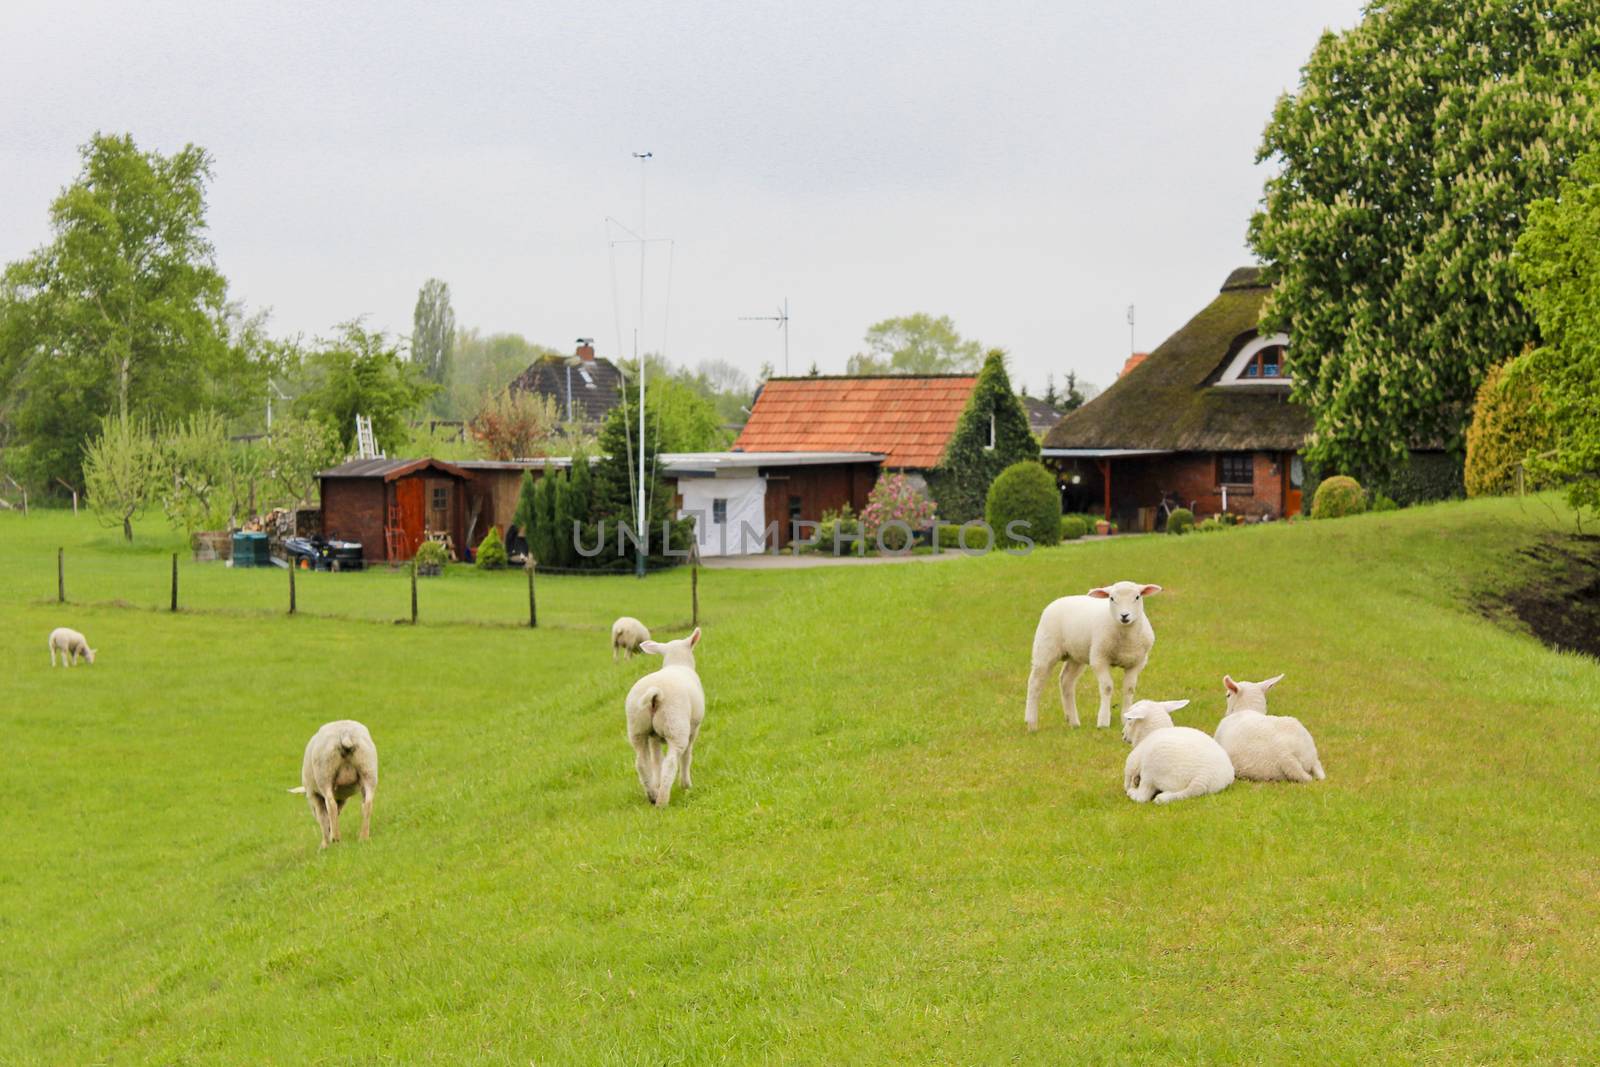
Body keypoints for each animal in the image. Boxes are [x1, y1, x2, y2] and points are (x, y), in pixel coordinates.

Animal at [286, 716, 376, 851]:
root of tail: (345, 734)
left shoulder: (313, 794)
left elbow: (323, 817)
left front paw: (324, 844)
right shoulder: (342, 798)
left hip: (324, 774)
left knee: (331, 805)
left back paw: (336, 838)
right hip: (368, 769)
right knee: (367, 804)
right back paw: (363, 837)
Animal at [620, 627, 704, 809]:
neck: (677, 663)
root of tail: (655, 694)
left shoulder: (654, 737)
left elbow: (656, 760)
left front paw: (657, 784)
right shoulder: (693, 730)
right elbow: (687, 756)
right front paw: (686, 785)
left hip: (638, 728)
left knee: (642, 763)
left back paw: (653, 795)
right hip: (676, 726)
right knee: (671, 762)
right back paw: (663, 800)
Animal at [1024, 579, 1164, 729]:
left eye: (1137, 597)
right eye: (1111, 598)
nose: (1124, 616)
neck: (1126, 638)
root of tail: (1059, 600)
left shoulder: (1137, 662)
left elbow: (1129, 689)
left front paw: (1127, 719)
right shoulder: (1099, 659)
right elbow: (1107, 687)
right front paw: (1103, 722)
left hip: (1076, 655)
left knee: (1066, 681)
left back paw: (1073, 722)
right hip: (1045, 648)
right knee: (1035, 682)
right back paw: (1031, 723)